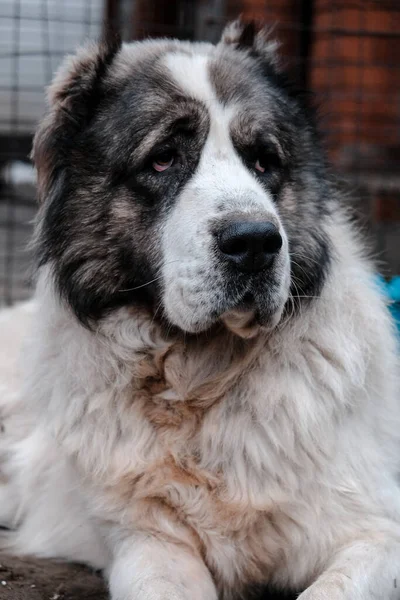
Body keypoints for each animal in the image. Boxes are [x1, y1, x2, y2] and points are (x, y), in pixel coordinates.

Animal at [0, 18, 400, 600]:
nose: (255, 242)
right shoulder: (147, 540)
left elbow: (335, 587)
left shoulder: (376, 530)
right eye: (163, 158)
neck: (200, 381)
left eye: (264, 162)